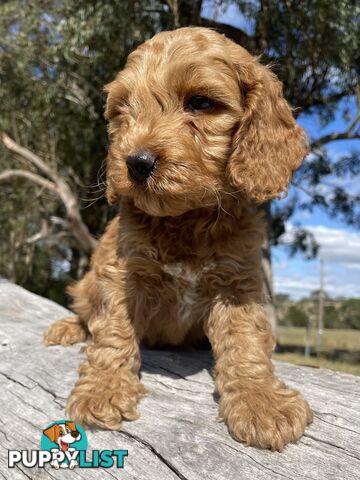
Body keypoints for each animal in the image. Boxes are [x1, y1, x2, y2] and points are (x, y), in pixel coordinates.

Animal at [43, 28, 312, 452]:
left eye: (200, 103)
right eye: (123, 110)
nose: (136, 163)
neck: (186, 218)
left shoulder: (237, 283)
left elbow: (246, 341)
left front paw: (261, 401)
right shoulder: (122, 272)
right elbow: (112, 332)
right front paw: (103, 390)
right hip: (86, 283)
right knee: (86, 312)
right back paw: (68, 327)